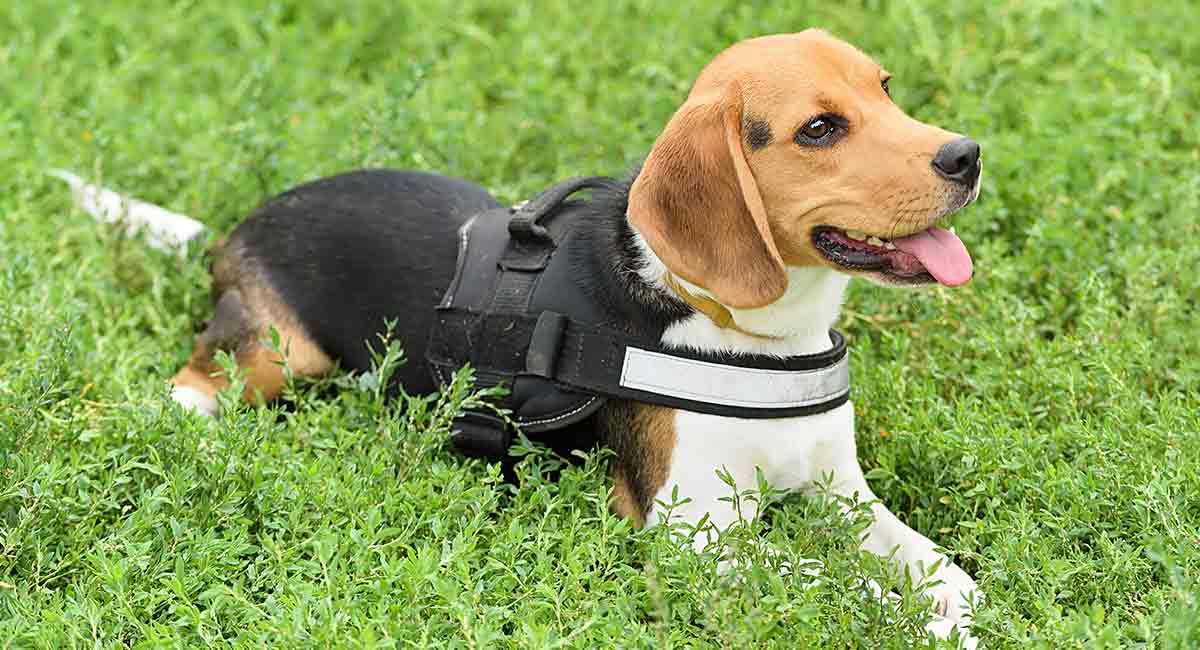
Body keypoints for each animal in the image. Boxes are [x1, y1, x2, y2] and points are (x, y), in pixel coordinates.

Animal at [65, 30, 979, 647]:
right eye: (820, 129)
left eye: (886, 89)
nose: (968, 155)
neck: (753, 334)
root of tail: (242, 226)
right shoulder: (692, 534)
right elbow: (826, 582)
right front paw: (913, 624)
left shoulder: (840, 489)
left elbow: (940, 570)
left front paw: (954, 613)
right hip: (279, 353)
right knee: (193, 383)